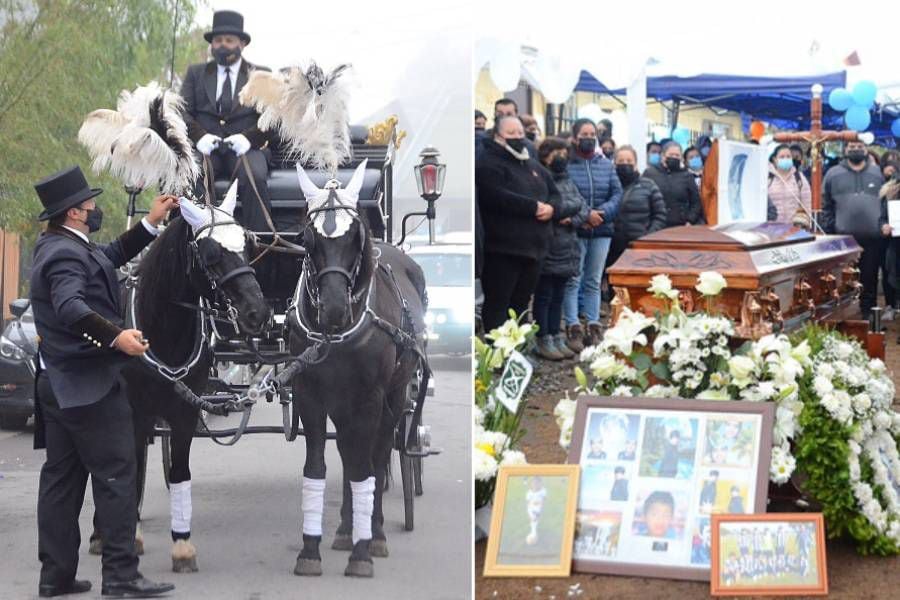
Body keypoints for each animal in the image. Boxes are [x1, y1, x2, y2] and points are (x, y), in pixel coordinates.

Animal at [94, 186, 274, 572]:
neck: (161, 329)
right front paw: (131, 537)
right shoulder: (136, 413)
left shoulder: (186, 412)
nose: (258, 313)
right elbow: (132, 471)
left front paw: (182, 546)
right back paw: (100, 534)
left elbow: (179, 471)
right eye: (211, 254)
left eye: (248, 245)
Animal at [288, 162, 428, 580]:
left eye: (355, 236)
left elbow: (368, 465)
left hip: (393, 397)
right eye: (308, 238)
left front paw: (363, 553)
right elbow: (317, 467)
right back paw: (347, 529)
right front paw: (310, 550)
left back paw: (374, 531)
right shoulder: (311, 396)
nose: (334, 308)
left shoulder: (370, 398)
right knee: (351, 454)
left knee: (375, 456)